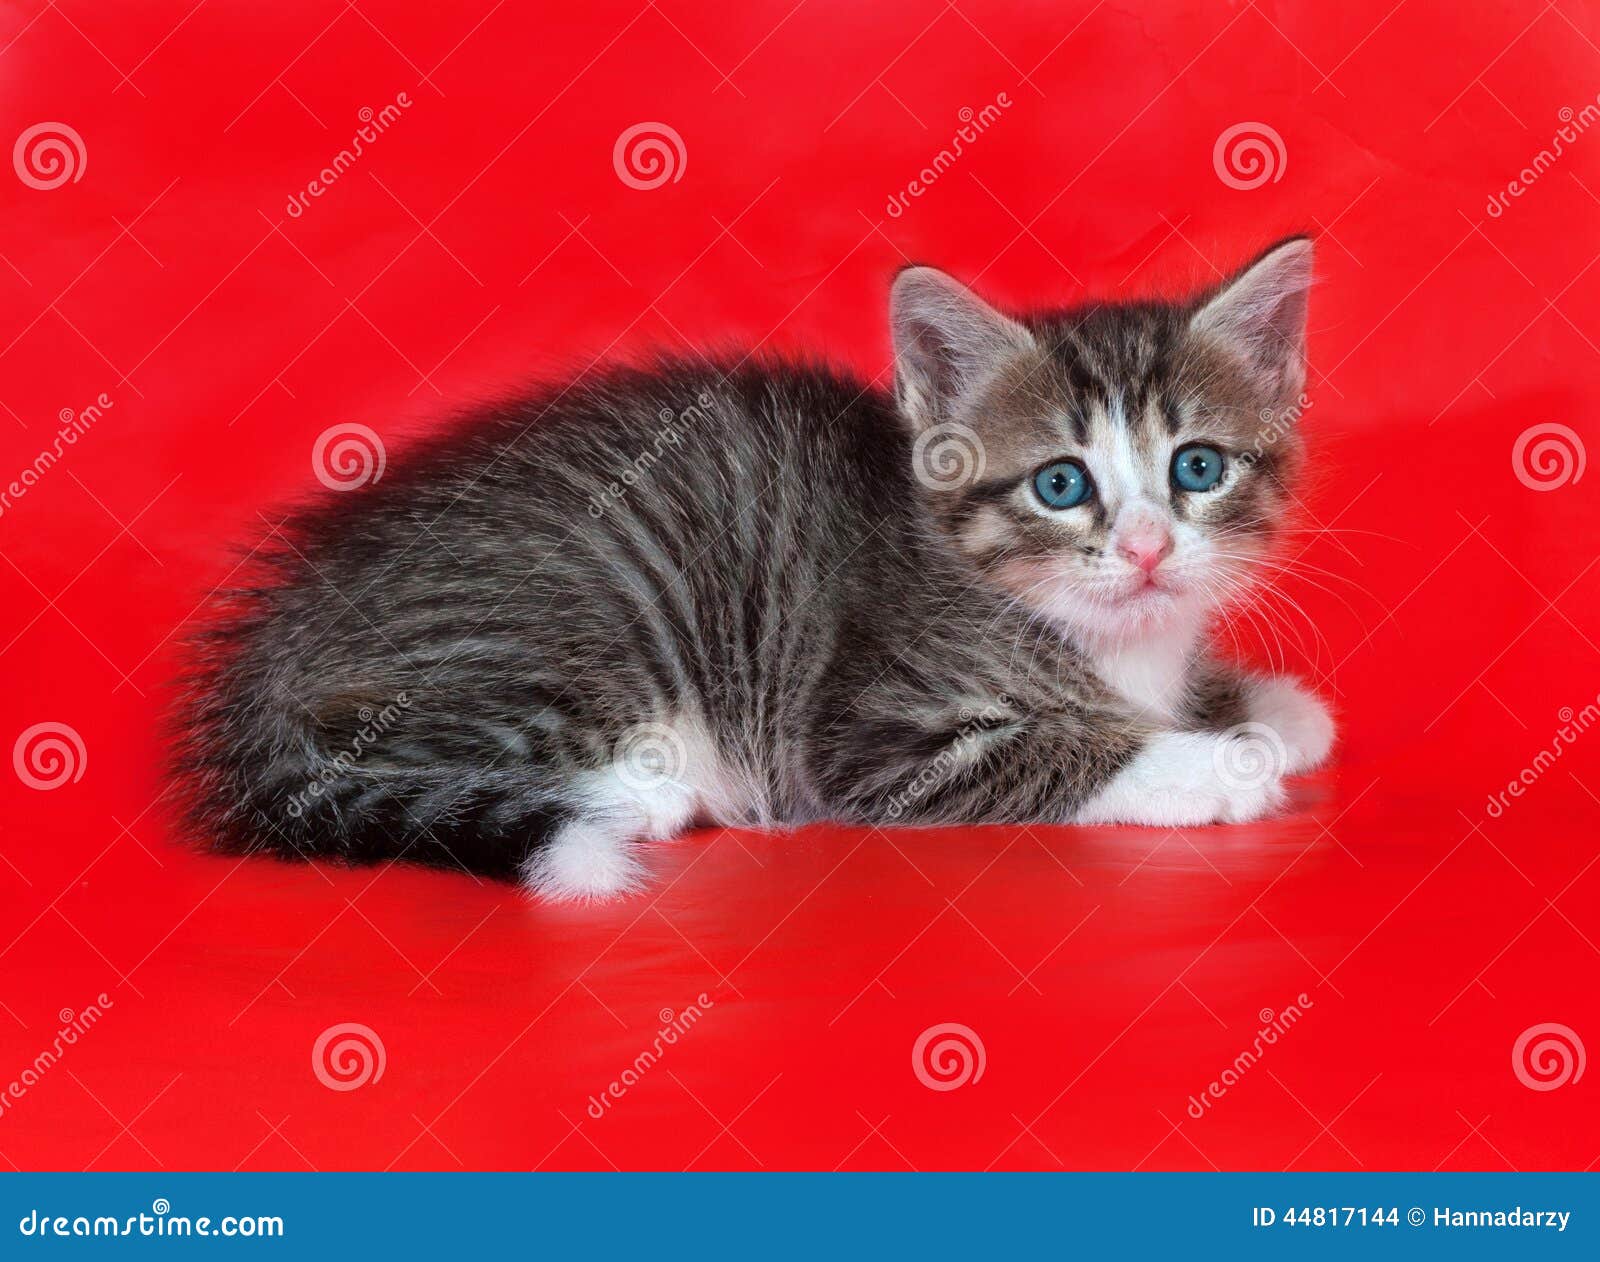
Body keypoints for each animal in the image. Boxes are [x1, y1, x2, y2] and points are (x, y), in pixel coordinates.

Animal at [172, 236, 1337, 902]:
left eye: (1197, 467)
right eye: (1060, 484)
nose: (1144, 547)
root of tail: (267, 651)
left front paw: (1271, 709)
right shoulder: (870, 739)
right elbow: (1058, 750)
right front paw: (1218, 761)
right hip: (568, 616)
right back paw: (641, 790)